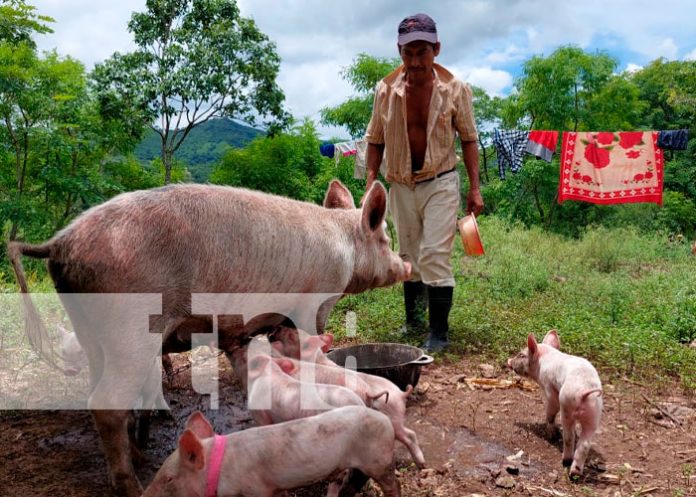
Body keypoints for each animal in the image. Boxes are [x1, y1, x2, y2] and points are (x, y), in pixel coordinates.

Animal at [143, 406, 402, 496]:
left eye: (168, 479)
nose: (143, 496)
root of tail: (387, 420)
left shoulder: (257, 489)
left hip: (379, 460)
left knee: (393, 485)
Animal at [506, 330, 604, 476]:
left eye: (522, 355)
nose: (508, 361)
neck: (543, 360)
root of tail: (585, 390)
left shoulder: (548, 387)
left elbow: (551, 408)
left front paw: (551, 433)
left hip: (567, 405)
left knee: (569, 436)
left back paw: (565, 461)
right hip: (594, 413)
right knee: (585, 444)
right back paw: (575, 473)